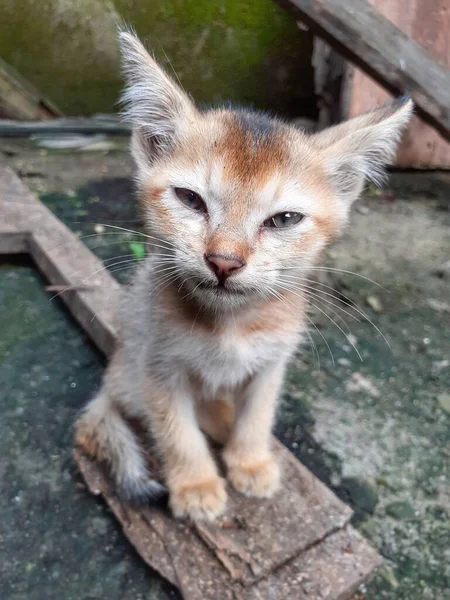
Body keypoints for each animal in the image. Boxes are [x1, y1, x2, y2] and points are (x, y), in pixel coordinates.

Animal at [75, 30, 414, 524]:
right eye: (189, 199)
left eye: (284, 219)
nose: (224, 262)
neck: (230, 326)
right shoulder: (158, 369)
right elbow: (176, 431)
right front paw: (196, 484)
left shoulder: (272, 363)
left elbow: (257, 415)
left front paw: (250, 461)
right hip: (127, 370)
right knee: (99, 421)